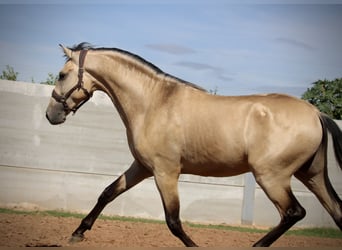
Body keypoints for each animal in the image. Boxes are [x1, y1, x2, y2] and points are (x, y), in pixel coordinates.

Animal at [46, 43, 342, 246]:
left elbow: (174, 221)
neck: (154, 103)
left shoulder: (165, 172)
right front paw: (77, 233)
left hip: (272, 177)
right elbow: (107, 193)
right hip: (311, 175)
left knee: (294, 212)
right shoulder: (142, 167)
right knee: (336, 211)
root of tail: (316, 113)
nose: (51, 115)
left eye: (61, 75)